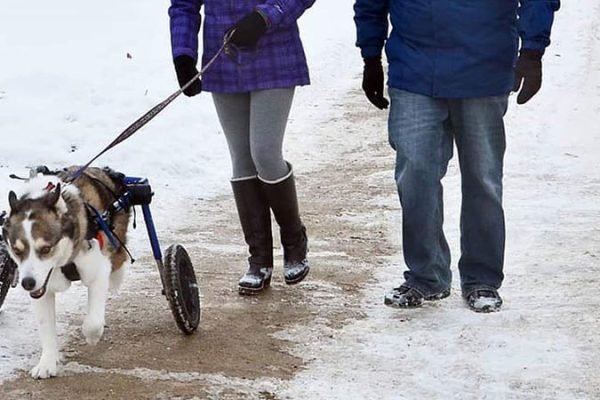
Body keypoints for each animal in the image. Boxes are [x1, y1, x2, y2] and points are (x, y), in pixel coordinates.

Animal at [1, 166, 131, 378]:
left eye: (46, 249)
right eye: (17, 250)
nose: (27, 283)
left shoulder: (97, 269)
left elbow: (93, 322)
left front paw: (92, 336)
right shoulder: (41, 290)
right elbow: (46, 326)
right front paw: (47, 362)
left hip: (116, 234)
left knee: (119, 257)